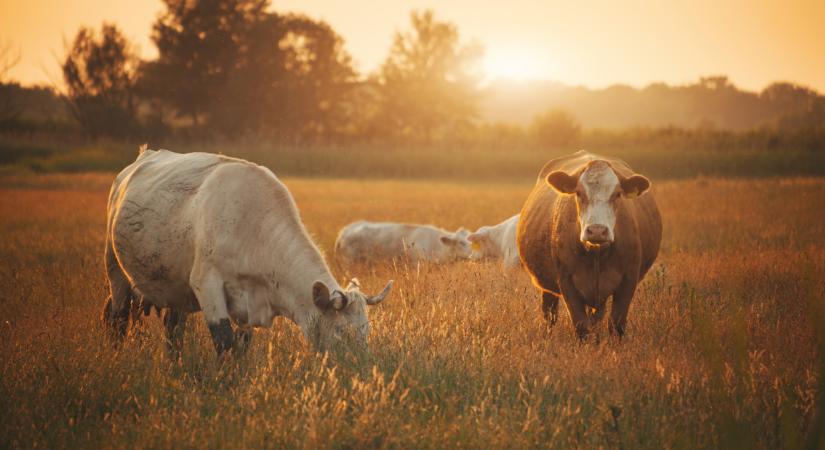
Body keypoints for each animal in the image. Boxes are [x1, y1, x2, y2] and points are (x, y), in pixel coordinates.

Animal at [102, 148, 392, 356]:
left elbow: (241, 347)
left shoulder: (248, 306)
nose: (360, 368)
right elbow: (224, 343)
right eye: (342, 331)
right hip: (115, 271)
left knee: (173, 330)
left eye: (366, 331)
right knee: (117, 318)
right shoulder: (207, 285)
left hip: (175, 291)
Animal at [516, 149, 664, 340]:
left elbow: (616, 324)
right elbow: (581, 326)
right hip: (549, 291)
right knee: (550, 314)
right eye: (579, 193)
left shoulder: (628, 280)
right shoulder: (567, 282)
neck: (597, 254)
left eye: (617, 194)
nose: (597, 230)